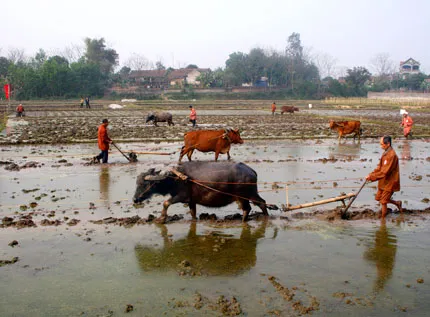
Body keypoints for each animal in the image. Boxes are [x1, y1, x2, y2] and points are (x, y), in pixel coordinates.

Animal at [133, 160, 278, 222]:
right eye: (137, 182)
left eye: (144, 183)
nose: (135, 199)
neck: (175, 178)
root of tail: (252, 171)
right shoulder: (191, 201)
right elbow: (192, 213)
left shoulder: (181, 196)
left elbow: (165, 203)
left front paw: (161, 219)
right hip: (248, 196)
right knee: (256, 205)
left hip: (245, 196)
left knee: (254, 206)